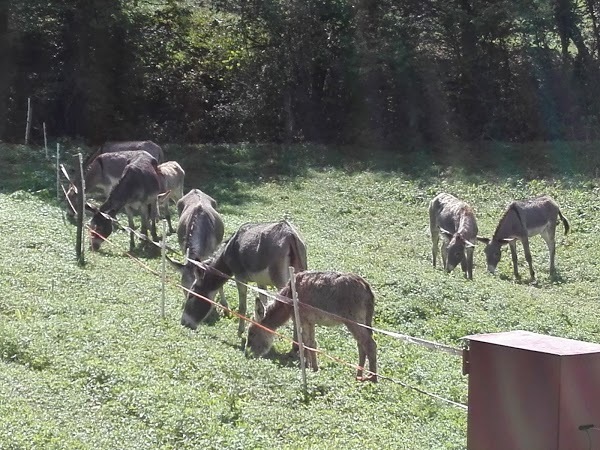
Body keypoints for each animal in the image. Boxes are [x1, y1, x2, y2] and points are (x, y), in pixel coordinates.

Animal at [244, 272, 376, 382]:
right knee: (361, 344)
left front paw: (309, 366)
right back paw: (359, 376)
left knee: (369, 344)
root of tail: (367, 288)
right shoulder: (310, 321)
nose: (247, 354)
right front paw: (313, 368)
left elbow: (306, 343)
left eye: (251, 333)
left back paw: (373, 378)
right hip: (363, 321)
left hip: (353, 320)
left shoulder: (302, 319)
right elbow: (312, 343)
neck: (287, 304)